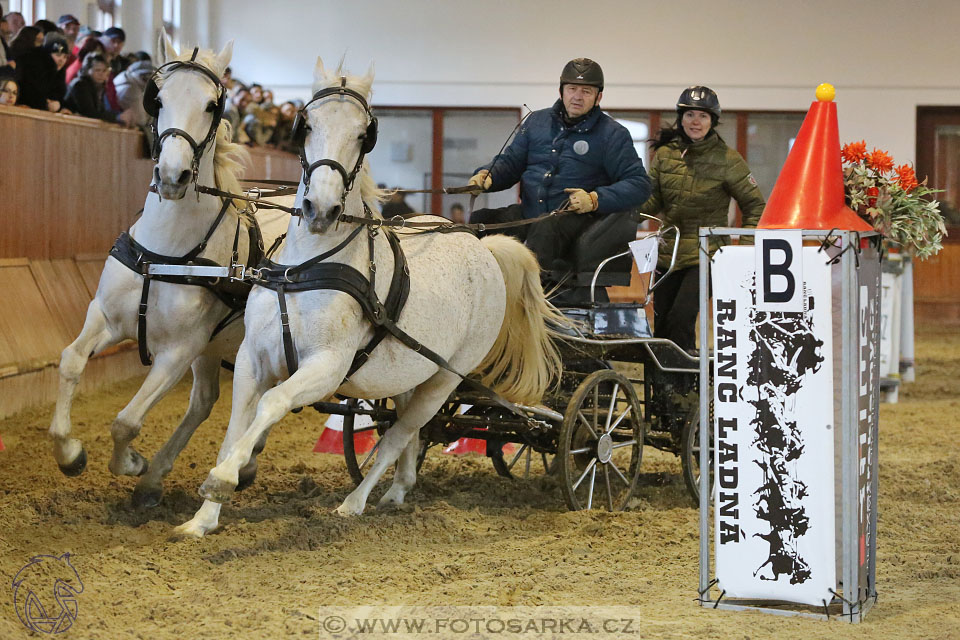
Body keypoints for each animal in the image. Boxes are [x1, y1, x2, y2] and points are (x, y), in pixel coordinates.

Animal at [50, 35, 288, 508]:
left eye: (213, 105)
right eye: (156, 99)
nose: (173, 175)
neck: (166, 253)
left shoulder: (179, 350)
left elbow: (126, 420)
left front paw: (131, 463)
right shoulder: (106, 317)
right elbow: (70, 361)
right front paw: (70, 453)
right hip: (216, 347)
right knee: (205, 401)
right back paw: (165, 476)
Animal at [172, 58, 564, 540]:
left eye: (364, 134)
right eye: (306, 125)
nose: (320, 210)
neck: (305, 268)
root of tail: (482, 246)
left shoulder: (327, 365)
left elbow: (273, 402)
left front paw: (223, 480)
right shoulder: (252, 358)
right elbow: (234, 428)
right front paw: (203, 517)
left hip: (445, 378)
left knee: (400, 433)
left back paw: (355, 502)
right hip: (412, 371)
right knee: (407, 430)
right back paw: (399, 489)